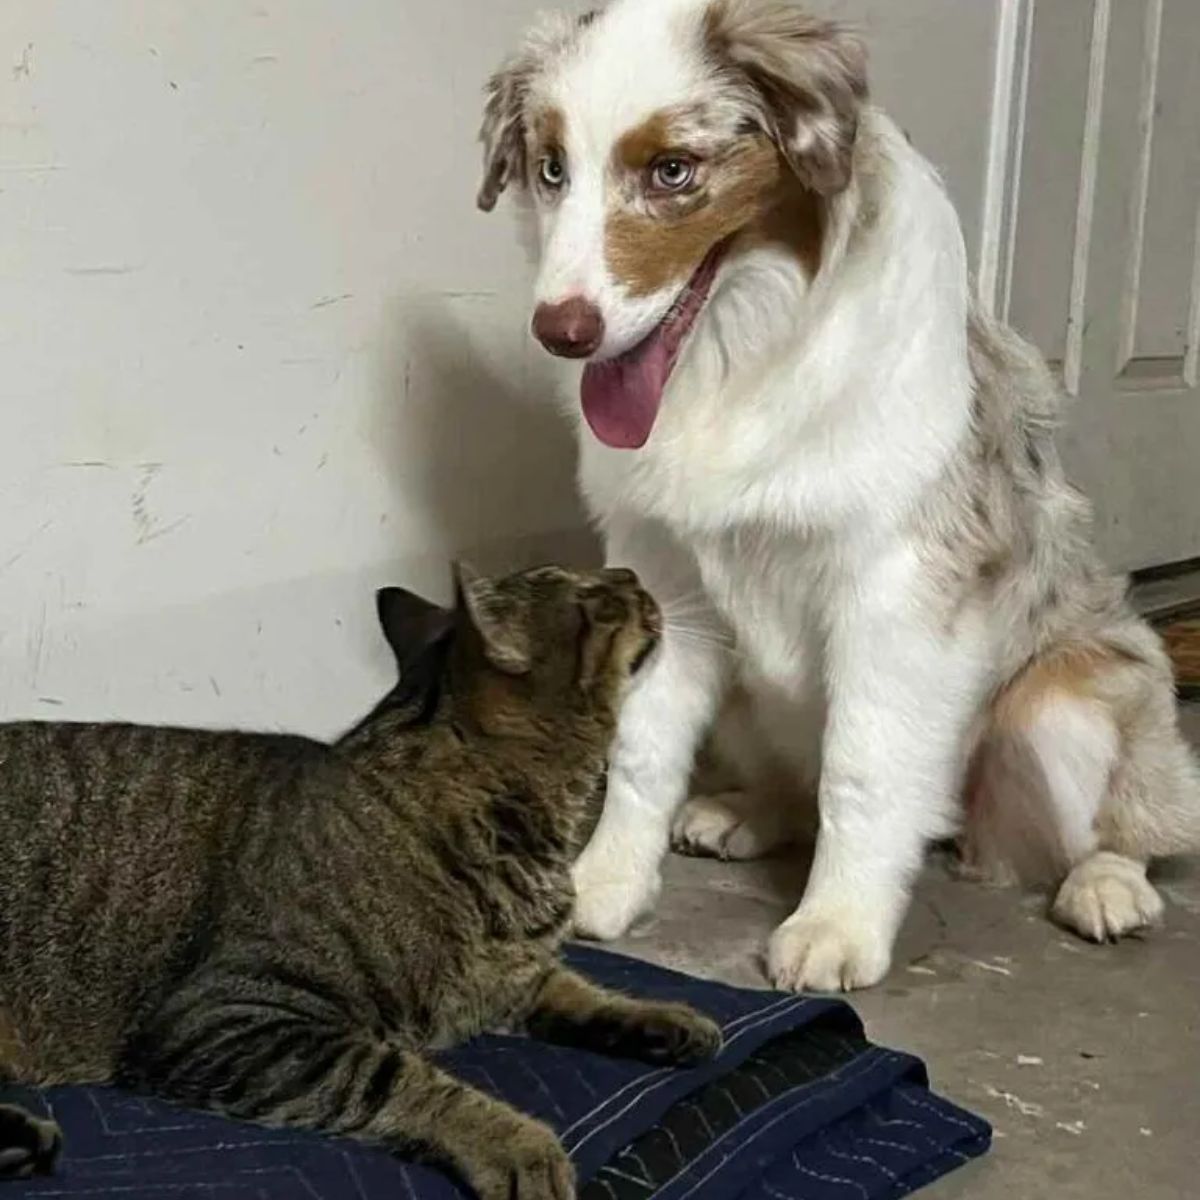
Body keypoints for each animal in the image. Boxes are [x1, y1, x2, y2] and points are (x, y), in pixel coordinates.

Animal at [0, 564, 715, 1200]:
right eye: (595, 598)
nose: (630, 574)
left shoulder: (511, 978)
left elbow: (575, 988)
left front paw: (658, 1017)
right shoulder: (226, 1017)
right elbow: (399, 1077)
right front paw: (518, 1142)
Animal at [472, 0, 1195, 993]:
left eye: (672, 171)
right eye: (551, 169)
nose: (561, 332)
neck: (739, 356)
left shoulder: (896, 592)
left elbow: (864, 767)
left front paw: (837, 925)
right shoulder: (665, 579)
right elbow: (642, 748)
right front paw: (604, 885)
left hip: (1070, 707)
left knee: (1134, 820)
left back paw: (1108, 885)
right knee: (792, 784)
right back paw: (743, 813)